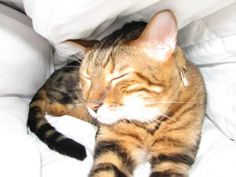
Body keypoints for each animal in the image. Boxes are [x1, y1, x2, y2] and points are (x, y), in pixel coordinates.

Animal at [27, 10, 206, 177]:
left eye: (117, 77)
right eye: (87, 77)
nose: (92, 105)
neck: (148, 124)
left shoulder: (176, 152)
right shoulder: (113, 146)